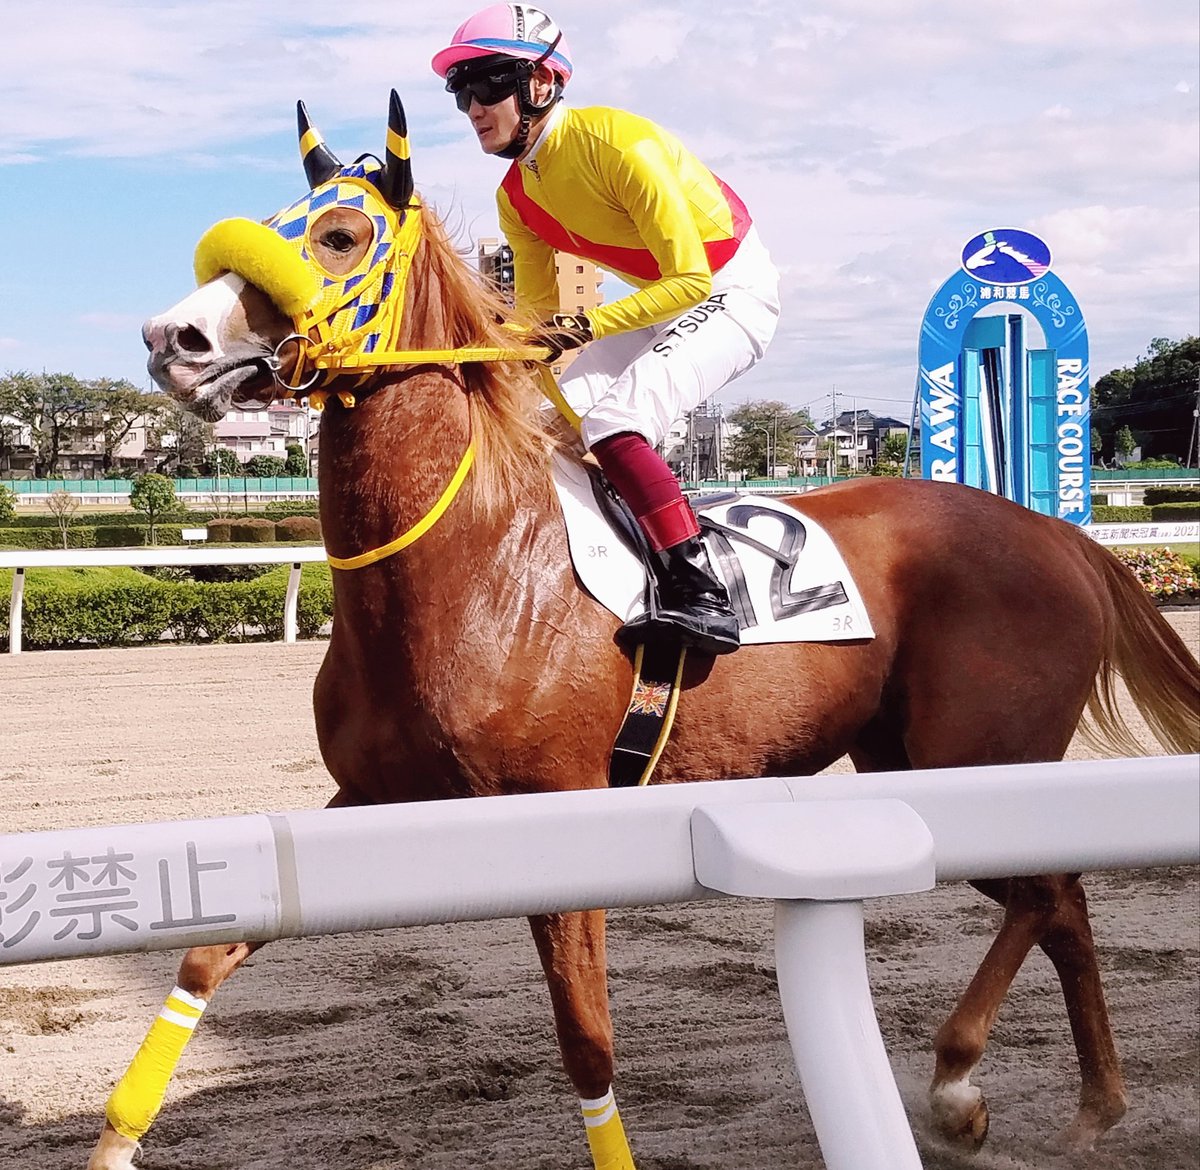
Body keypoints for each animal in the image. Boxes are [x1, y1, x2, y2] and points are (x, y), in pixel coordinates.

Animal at [89, 93, 1200, 1170]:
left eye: (339, 234)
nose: (171, 338)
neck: (474, 565)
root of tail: (1060, 533)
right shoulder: (373, 798)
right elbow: (208, 947)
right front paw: (117, 1137)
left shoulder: (562, 820)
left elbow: (587, 1045)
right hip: (911, 758)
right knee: (1062, 902)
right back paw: (1091, 1106)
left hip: (973, 756)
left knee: (1046, 895)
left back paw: (962, 1081)